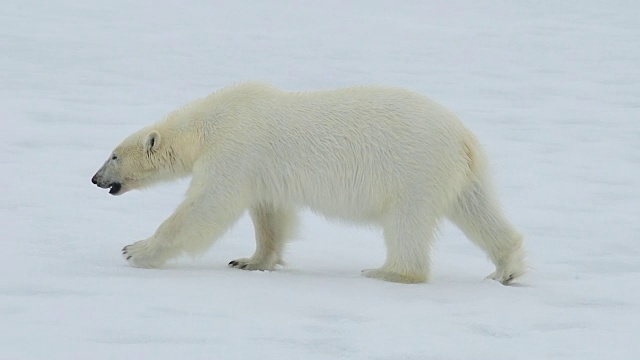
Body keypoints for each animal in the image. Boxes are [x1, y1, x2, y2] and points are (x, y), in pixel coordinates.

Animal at [92, 82, 528, 284]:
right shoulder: (260, 169)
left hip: (414, 170)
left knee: (407, 224)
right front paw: (250, 260)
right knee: (479, 211)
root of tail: (463, 136)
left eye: (113, 155)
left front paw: (135, 250)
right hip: (460, 174)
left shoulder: (234, 149)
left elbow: (206, 206)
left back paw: (386, 271)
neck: (207, 125)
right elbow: (270, 214)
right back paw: (505, 268)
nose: (95, 179)